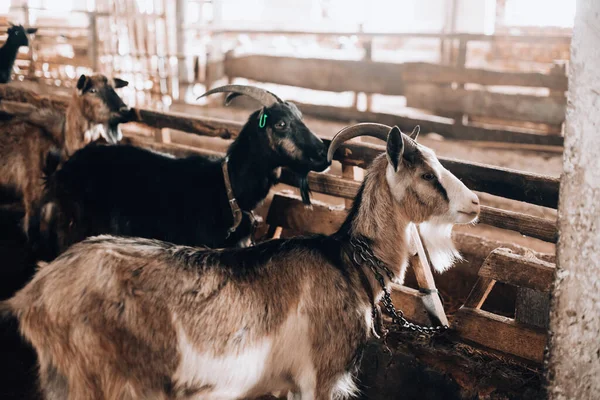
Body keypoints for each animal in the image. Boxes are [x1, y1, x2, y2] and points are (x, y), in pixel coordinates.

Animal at [32, 85, 328, 258]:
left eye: (300, 118)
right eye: (281, 124)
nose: (322, 153)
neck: (229, 187)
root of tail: (62, 171)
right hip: (78, 223)